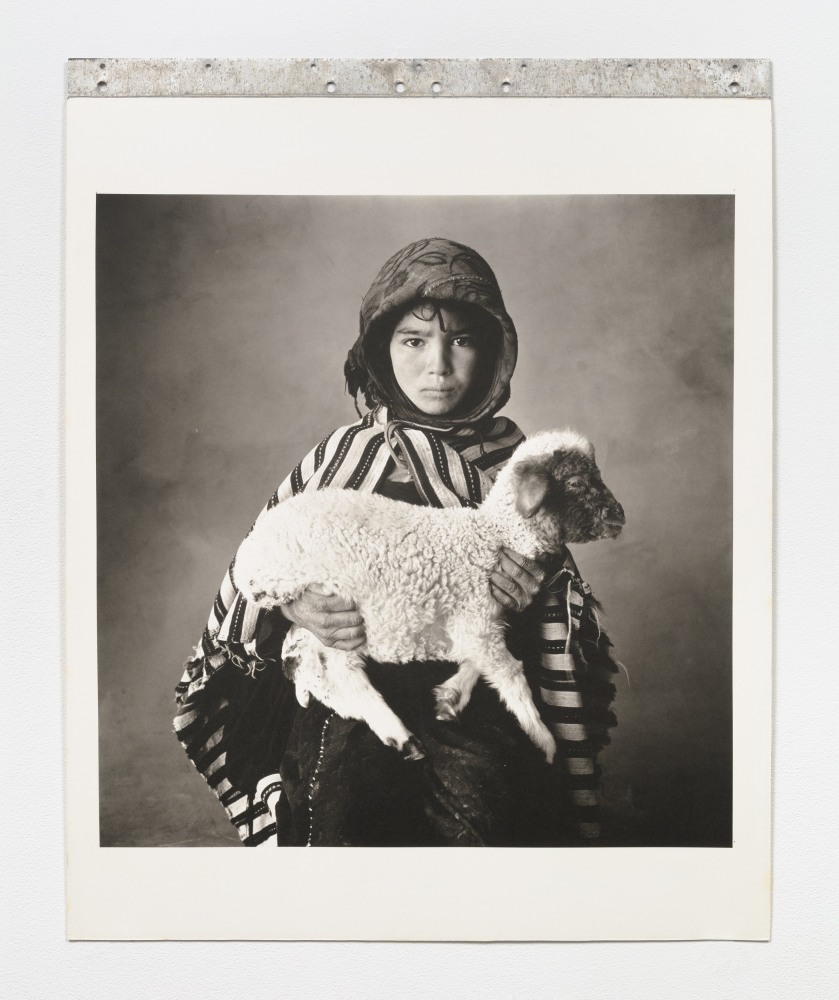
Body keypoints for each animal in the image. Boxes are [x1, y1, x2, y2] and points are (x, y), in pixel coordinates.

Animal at [233, 430, 628, 764]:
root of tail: (248, 553)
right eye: (576, 482)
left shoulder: (479, 623)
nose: (620, 515)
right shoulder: (476, 617)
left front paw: (450, 699)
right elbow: (512, 672)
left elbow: (480, 661)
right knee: (341, 672)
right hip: (331, 606)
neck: (495, 535)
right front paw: (544, 740)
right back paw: (399, 734)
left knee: (314, 666)